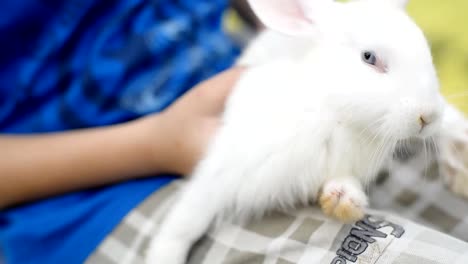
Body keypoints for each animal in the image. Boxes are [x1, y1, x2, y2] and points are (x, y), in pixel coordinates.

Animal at [146, 1, 446, 262]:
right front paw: (164, 256)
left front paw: (344, 200)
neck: (334, 114)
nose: (429, 116)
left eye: (427, 53)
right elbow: (188, 220)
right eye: (369, 57)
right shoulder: (221, 171)